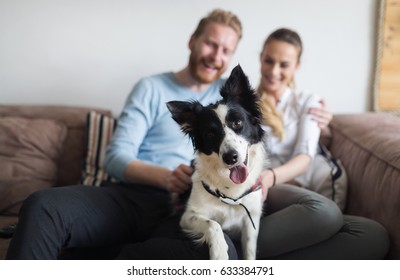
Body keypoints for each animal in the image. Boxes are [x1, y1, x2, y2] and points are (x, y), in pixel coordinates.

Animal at [167, 64, 268, 260]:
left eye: (238, 123)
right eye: (210, 134)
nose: (231, 157)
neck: (231, 190)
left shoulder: (251, 220)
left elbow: (250, 251)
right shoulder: (188, 217)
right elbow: (214, 224)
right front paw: (220, 252)